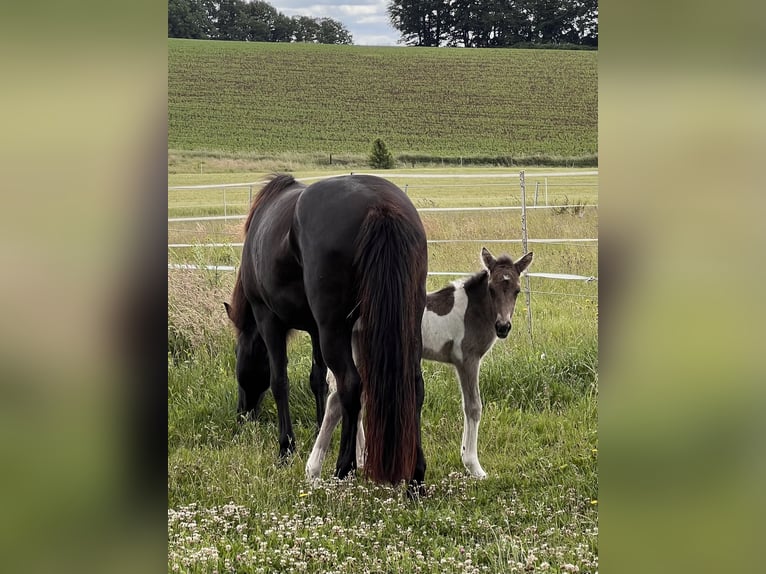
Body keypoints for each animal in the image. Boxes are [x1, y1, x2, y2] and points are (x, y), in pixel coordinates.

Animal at [225, 173, 429, 487]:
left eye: (238, 354)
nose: (243, 414)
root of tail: (379, 205)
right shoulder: (314, 329)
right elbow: (317, 379)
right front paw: (319, 429)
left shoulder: (268, 319)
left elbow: (279, 381)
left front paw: (286, 448)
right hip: (405, 322)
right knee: (414, 386)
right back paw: (416, 478)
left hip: (333, 330)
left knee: (351, 386)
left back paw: (344, 469)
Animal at [306, 247, 533, 482]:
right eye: (491, 289)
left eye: (517, 290)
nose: (503, 327)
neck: (473, 311)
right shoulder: (467, 360)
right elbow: (473, 407)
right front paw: (474, 467)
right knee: (336, 400)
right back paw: (313, 472)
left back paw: (357, 461)